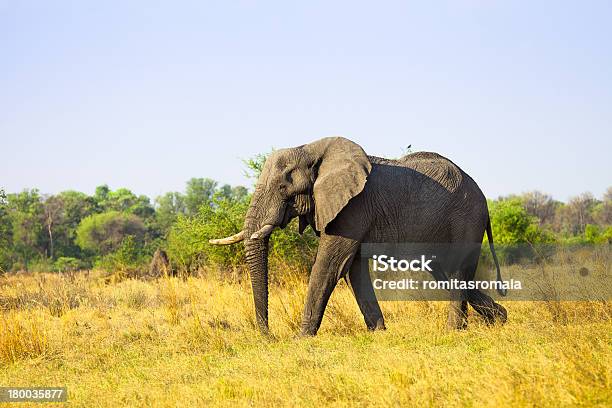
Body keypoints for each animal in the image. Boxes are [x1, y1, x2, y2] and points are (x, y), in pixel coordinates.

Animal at [210, 137, 506, 334]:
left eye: (284, 187)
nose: (268, 336)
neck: (311, 149)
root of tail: (483, 196)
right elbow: (352, 270)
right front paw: (379, 332)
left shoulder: (353, 208)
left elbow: (330, 266)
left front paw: (301, 338)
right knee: (445, 272)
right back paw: (499, 319)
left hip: (465, 219)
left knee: (456, 269)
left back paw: (455, 330)